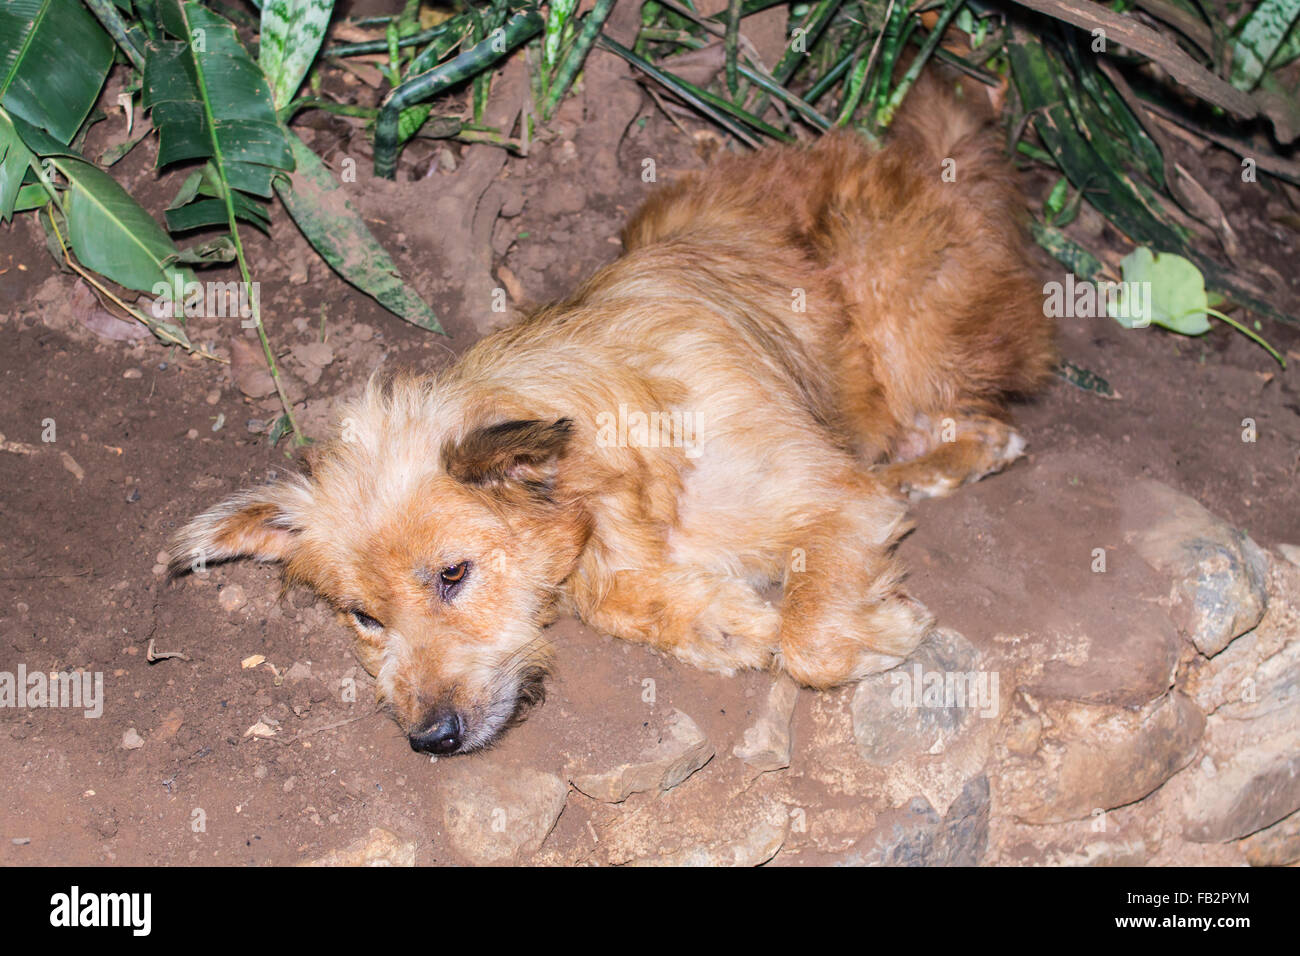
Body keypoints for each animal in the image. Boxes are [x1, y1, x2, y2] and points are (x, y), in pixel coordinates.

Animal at [167, 76, 1050, 754]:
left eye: (453, 575)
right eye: (363, 617)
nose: (431, 739)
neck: (613, 472)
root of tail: (917, 157)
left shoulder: (834, 501)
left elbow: (810, 642)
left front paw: (878, 632)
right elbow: (647, 605)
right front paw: (727, 620)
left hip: (896, 309)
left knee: (974, 421)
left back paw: (943, 460)